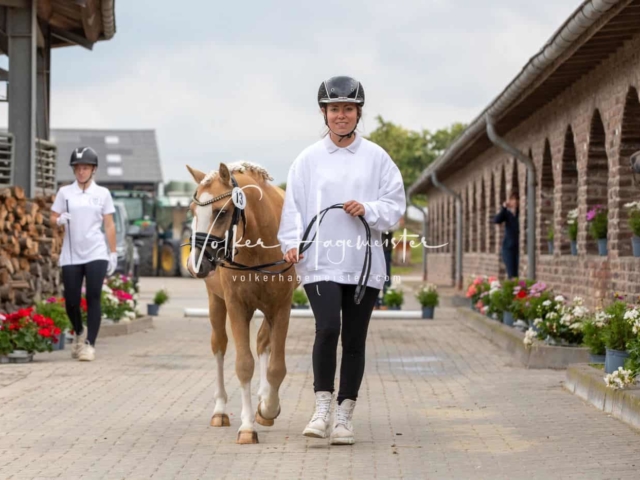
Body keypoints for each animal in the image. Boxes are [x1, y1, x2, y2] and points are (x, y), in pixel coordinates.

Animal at [185, 163, 296, 444]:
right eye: (192, 211)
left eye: (221, 212)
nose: (195, 264)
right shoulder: (237, 306)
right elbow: (244, 364)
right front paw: (247, 427)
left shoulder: (281, 306)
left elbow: (277, 367)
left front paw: (267, 408)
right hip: (216, 302)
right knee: (219, 346)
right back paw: (220, 411)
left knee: (263, 342)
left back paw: (264, 399)